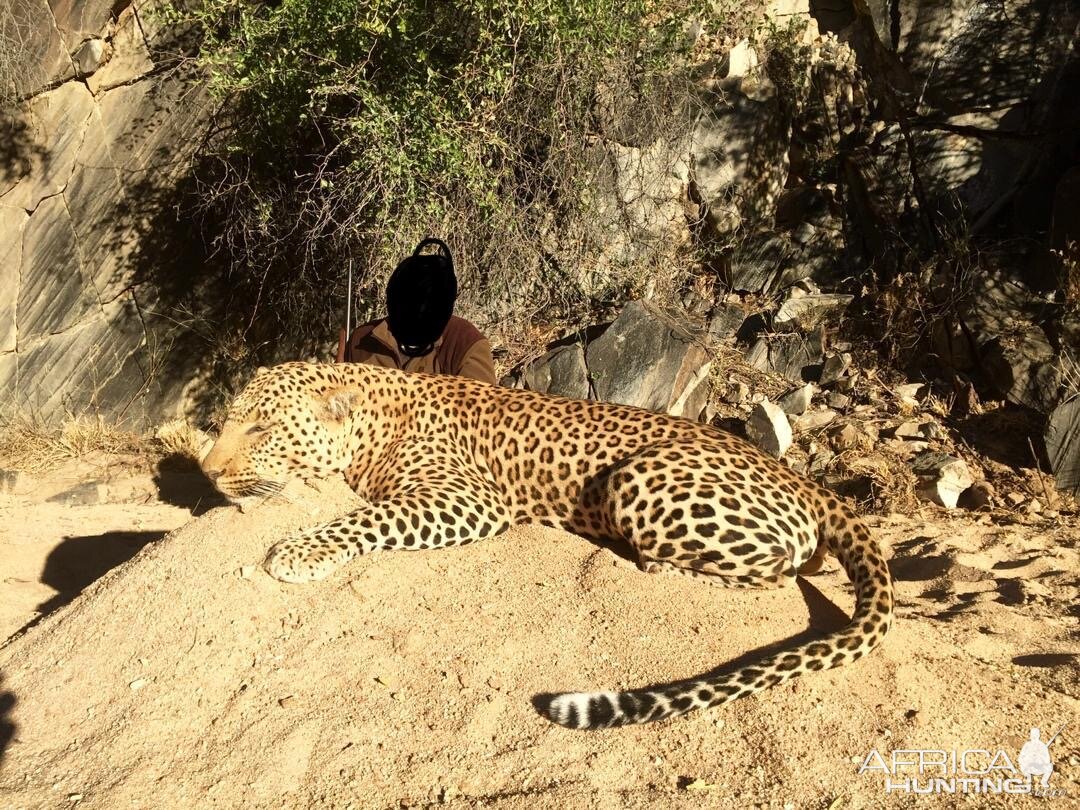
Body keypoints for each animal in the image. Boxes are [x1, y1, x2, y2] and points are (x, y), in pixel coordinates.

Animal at [203, 360, 894, 730]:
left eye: (261, 428)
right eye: (228, 421)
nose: (207, 473)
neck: (371, 416)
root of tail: (802, 478)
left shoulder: (466, 496)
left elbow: (370, 517)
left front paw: (300, 551)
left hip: (639, 481)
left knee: (776, 571)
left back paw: (653, 566)